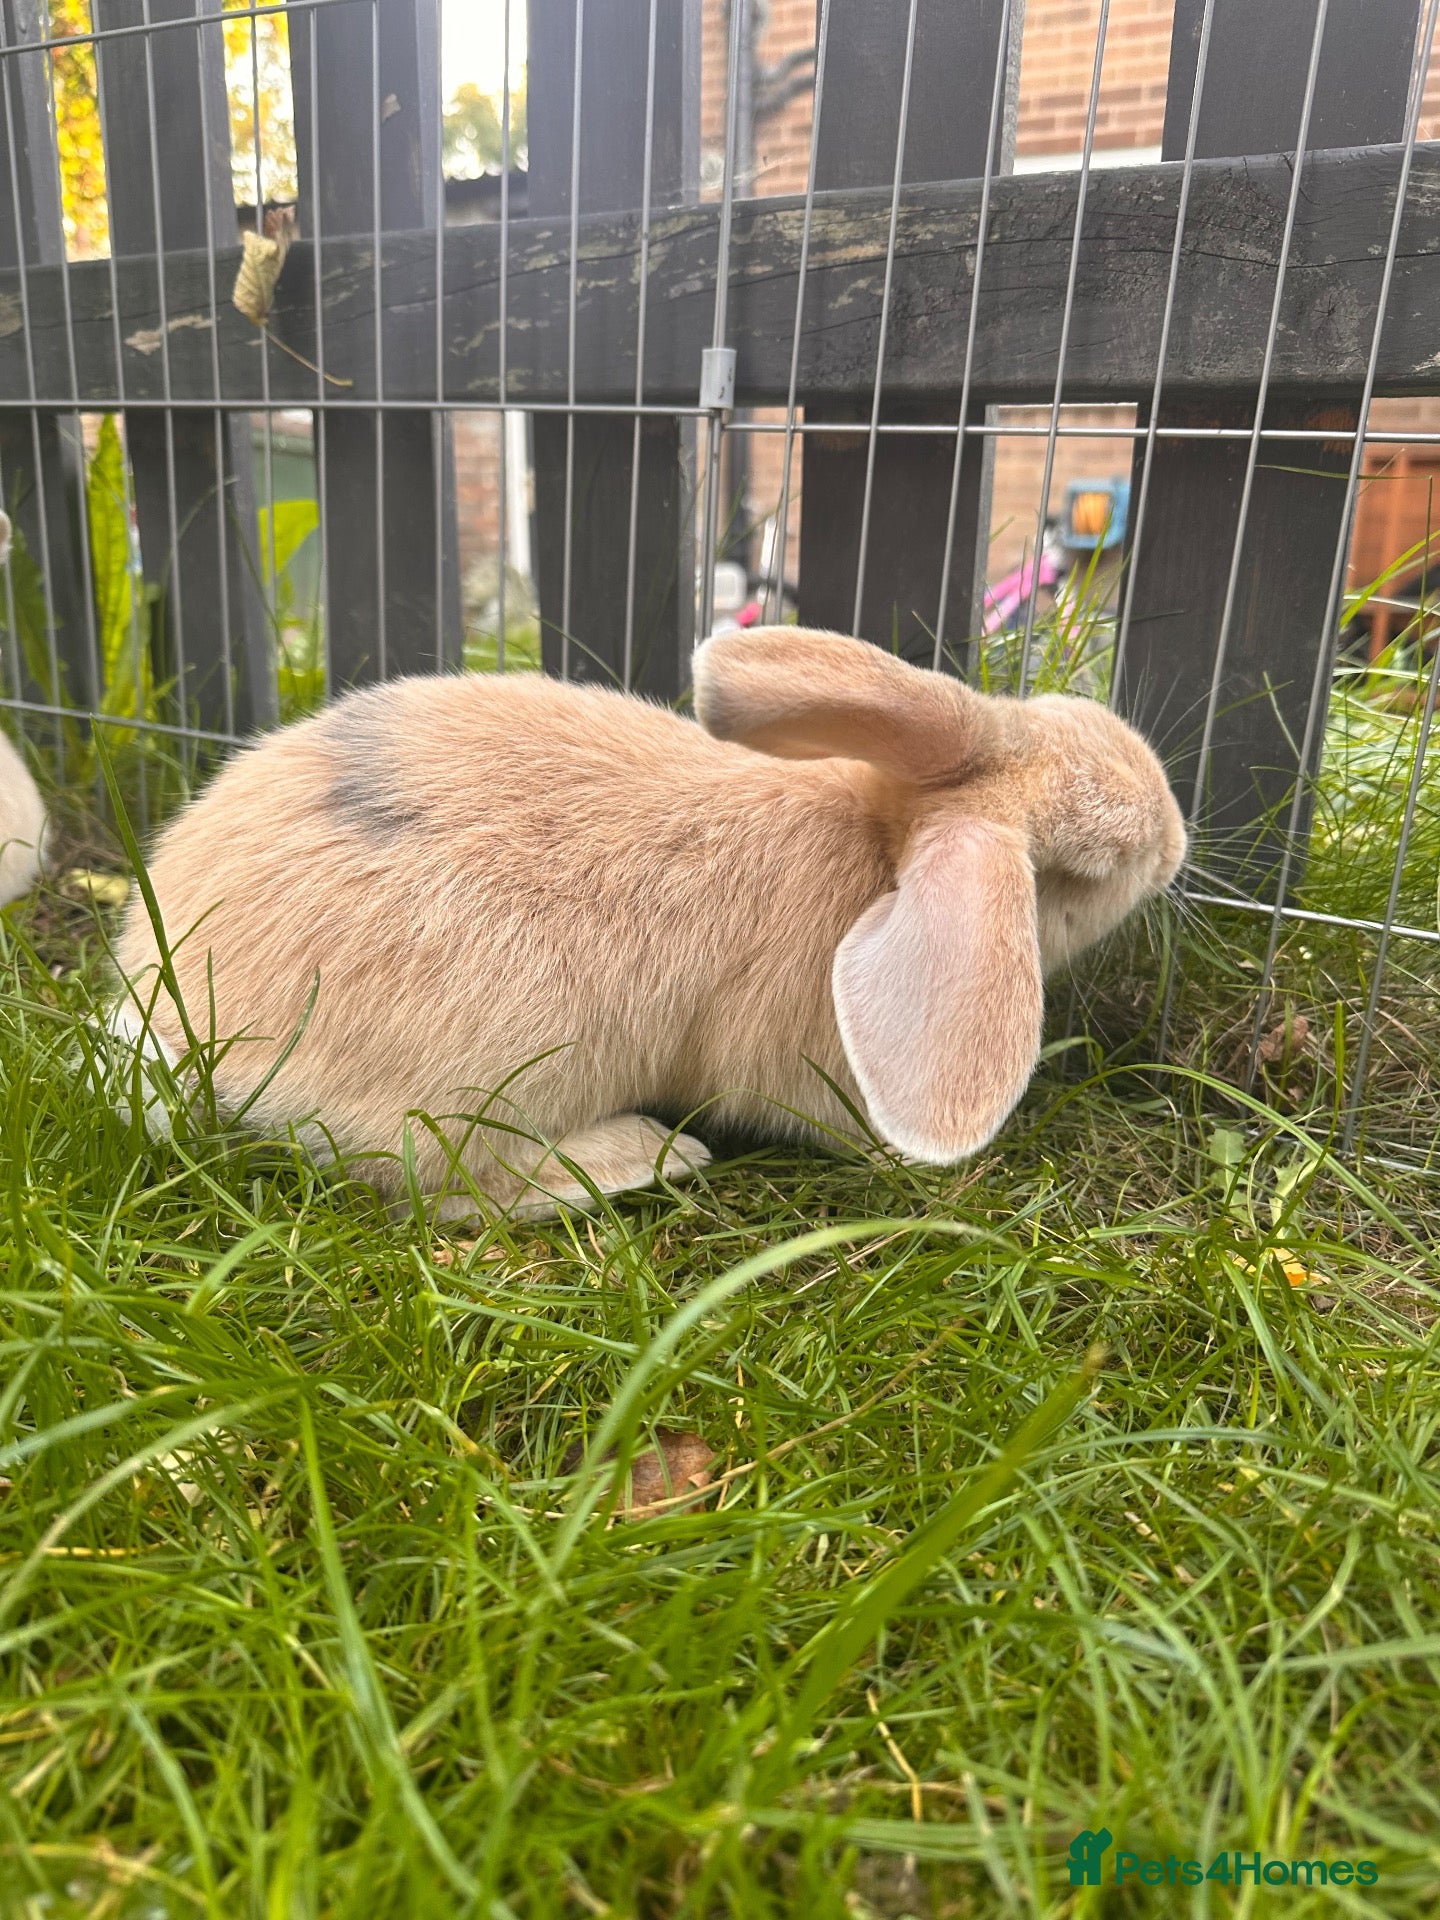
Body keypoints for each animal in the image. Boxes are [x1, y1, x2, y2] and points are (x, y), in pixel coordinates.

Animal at [110, 626, 1186, 1218]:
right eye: (1083, 873)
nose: (1177, 837)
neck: (880, 843)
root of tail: (157, 1014)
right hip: (485, 1078)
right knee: (447, 1189)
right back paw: (646, 1158)